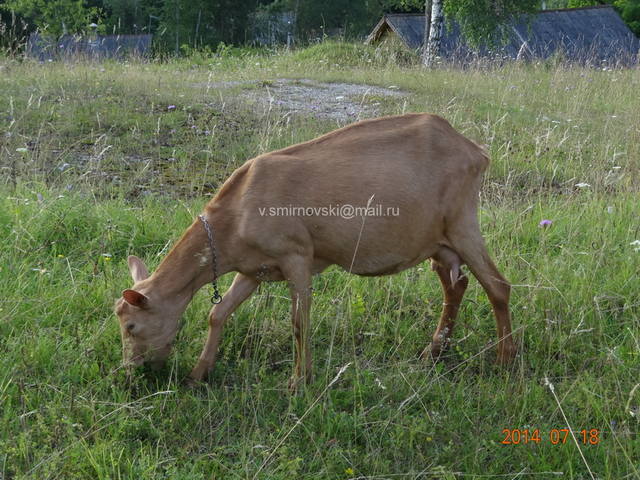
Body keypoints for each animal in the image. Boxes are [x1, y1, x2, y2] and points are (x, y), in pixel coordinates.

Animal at [114, 112, 516, 386]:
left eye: (131, 325)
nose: (131, 372)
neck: (236, 214)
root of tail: (477, 152)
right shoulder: (253, 269)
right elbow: (219, 313)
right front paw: (199, 373)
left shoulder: (297, 256)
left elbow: (299, 321)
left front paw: (298, 381)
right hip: (437, 241)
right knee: (456, 284)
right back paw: (434, 351)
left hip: (463, 222)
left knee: (497, 285)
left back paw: (505, 361)